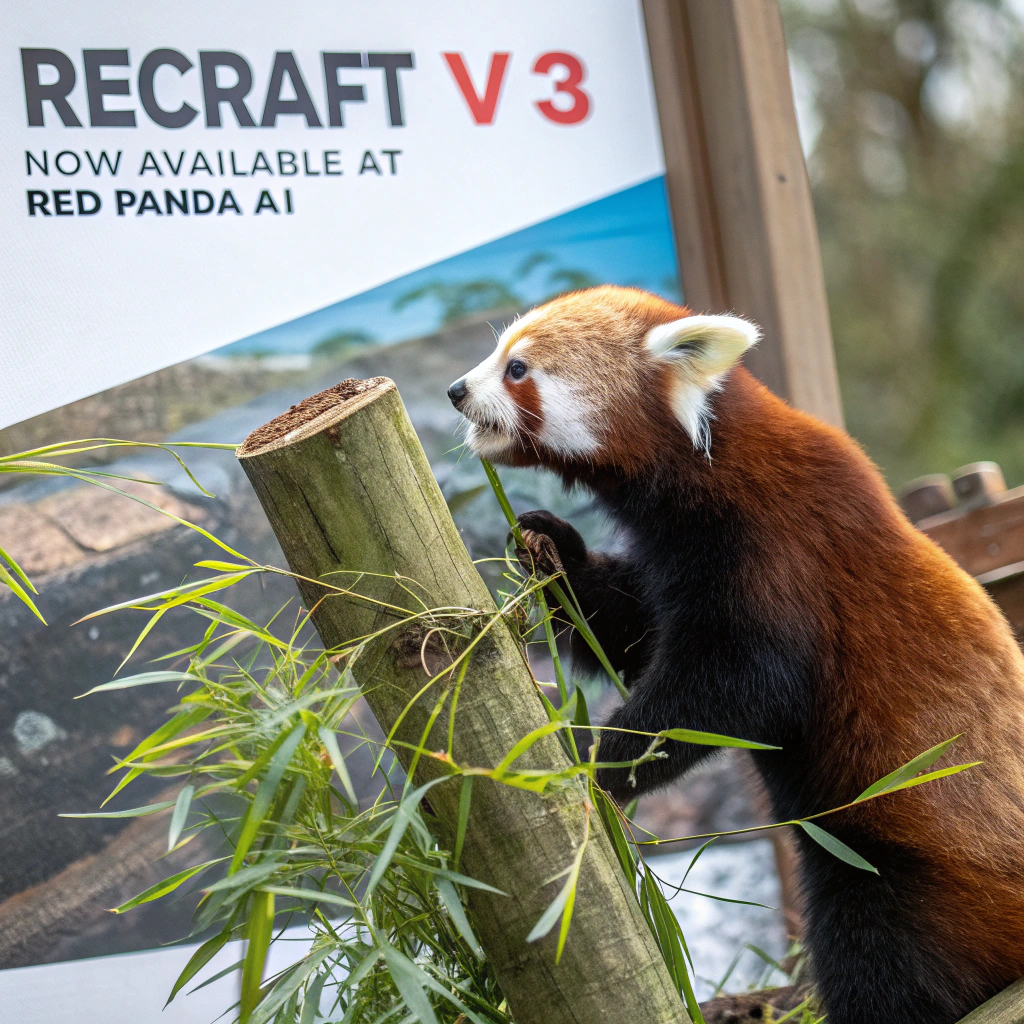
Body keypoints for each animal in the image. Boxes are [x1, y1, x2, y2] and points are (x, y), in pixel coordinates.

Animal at [446, 285, 1024, 1024]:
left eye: (517, 368)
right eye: (497, 352)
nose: (458, 390)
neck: (708, 462)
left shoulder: (779, 545)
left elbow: (736, 687)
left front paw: (596, 754)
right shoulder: (671, 559)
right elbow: (631, 633)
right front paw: (551, 554)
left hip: (913, 865)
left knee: (878, 951)